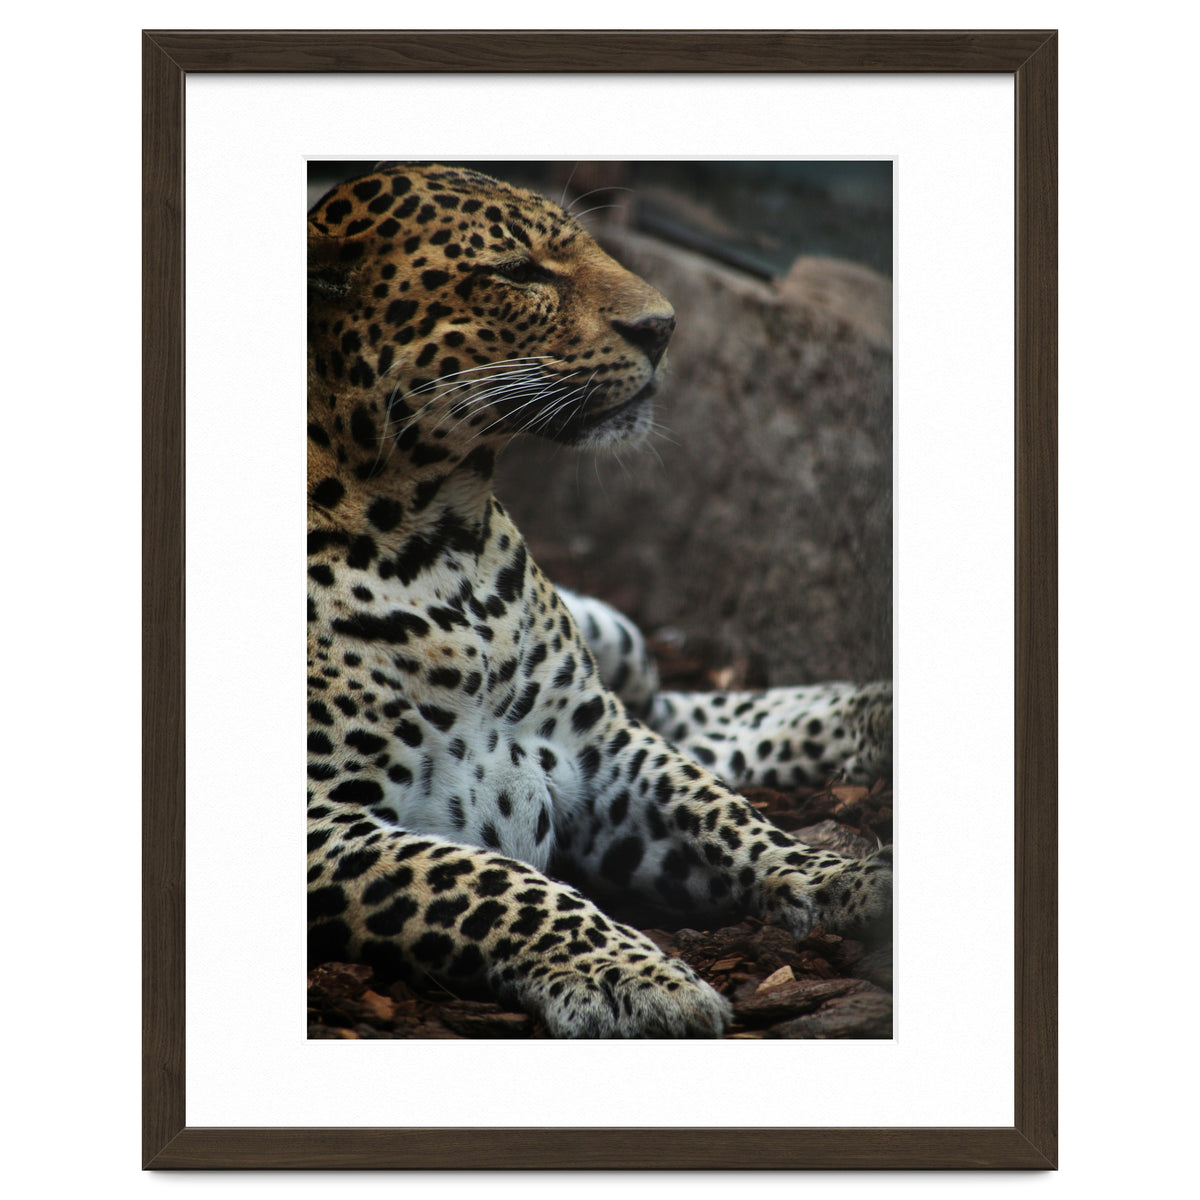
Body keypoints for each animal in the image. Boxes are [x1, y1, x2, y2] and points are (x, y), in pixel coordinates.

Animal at [307, 162, 893, 1037]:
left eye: (583, 245)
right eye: (517, 272)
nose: (665, 327)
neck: (440, 541)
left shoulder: (597, 744)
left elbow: (722, 811)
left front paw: (843, 879)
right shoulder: (322, 823)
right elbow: (490, 882)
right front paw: (634, 977)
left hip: (619, 651)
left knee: (681, 714)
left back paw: (875, 712)